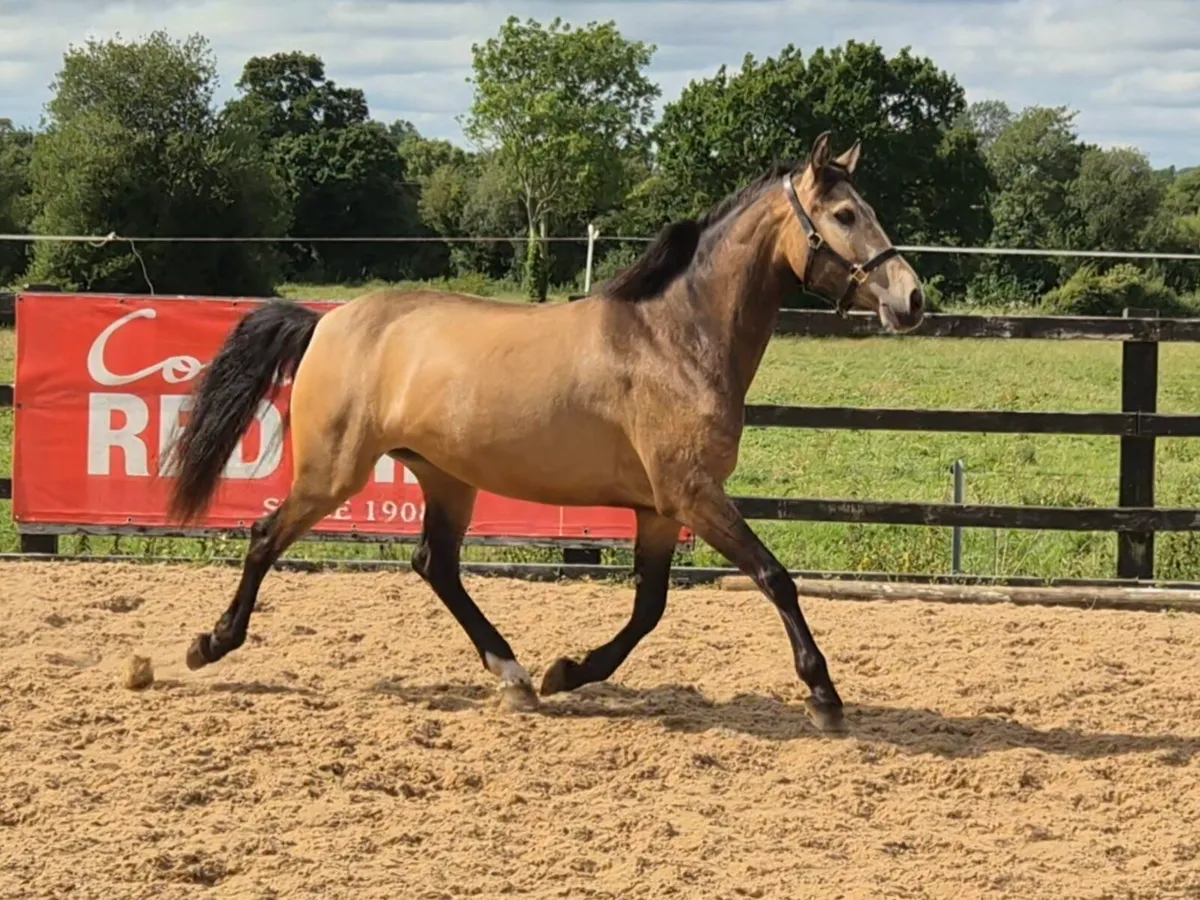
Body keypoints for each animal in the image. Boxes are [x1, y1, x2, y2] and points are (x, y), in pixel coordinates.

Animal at [164, 131, 925, 733]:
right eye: (845, 214)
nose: (911, 298)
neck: (675, 337)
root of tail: (326, 322)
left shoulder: (659, 509)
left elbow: (649, 607)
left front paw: (567, 671)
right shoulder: (693, 494)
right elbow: (774, 577)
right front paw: (824, 696)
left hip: (446, 478)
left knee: (435, 565)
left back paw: (517, 677)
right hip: (333, 471)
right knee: (266, 536)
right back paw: (209, 644)